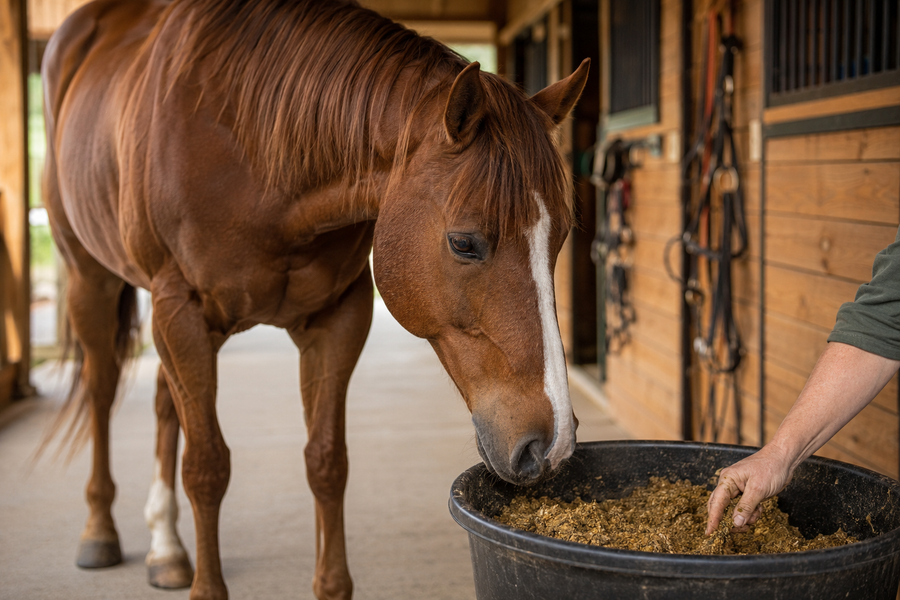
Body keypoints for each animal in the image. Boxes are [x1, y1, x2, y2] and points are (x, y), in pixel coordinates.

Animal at [42, 1, 589, 598]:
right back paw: (100, 533)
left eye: (560, 236)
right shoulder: (181, 312)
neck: (253, 150)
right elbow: (207, 466)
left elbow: (327, 461)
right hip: (92, 280)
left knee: (166, 404)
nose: (553, 445)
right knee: (100, 392)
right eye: (464, 242)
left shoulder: (338, 317)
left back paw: (166, 548)